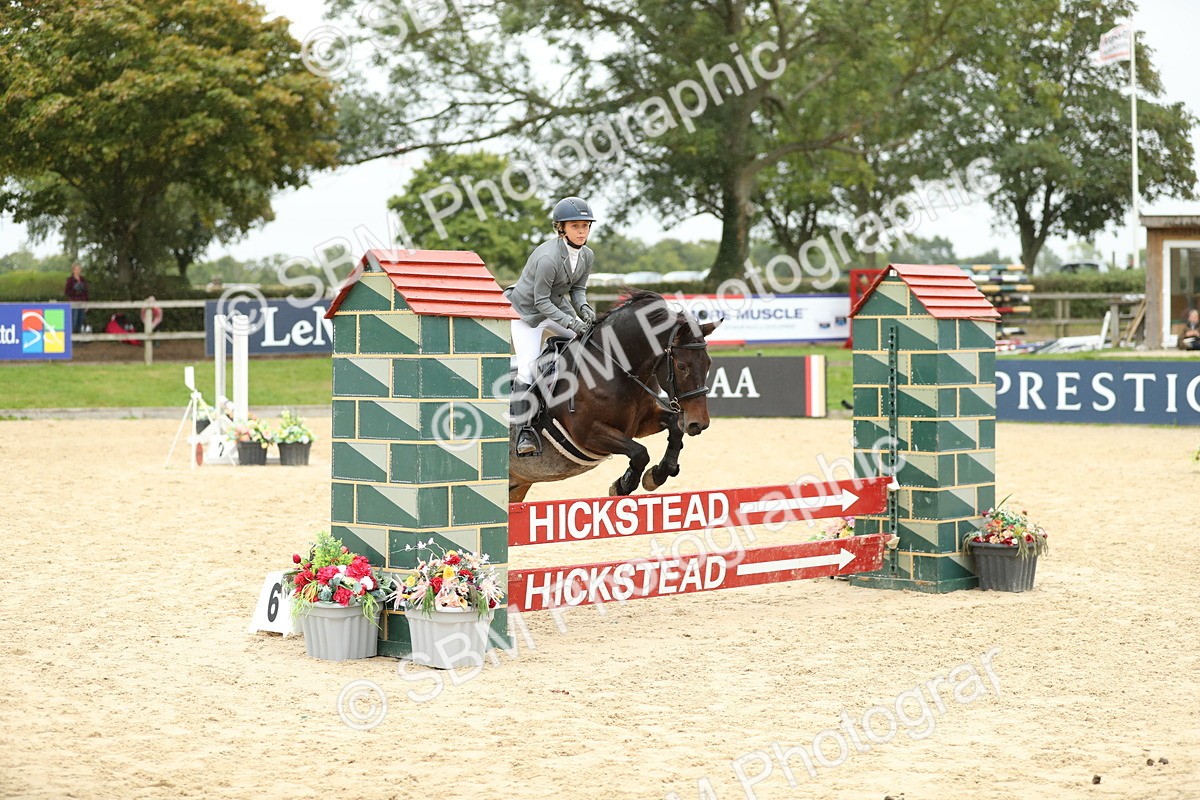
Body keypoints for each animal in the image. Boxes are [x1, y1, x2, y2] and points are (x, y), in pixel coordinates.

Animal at [508, 290, 721, 503]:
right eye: (681, 366)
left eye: (709, 363)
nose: (698, 423)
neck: (615, 370)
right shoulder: (588, 432)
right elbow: (640, 453)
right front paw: (622, 485)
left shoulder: (641, 424)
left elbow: (675, 428)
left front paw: (657, 475)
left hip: (518, 485)